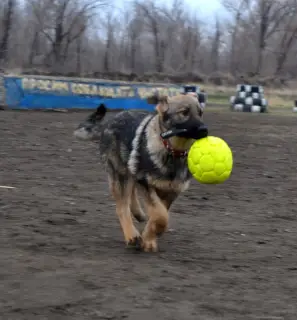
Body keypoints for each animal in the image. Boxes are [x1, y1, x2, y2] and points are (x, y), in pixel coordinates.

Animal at [73, 94, 207, 251]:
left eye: (200, 113)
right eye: (184, 112)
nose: (205, 130)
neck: (172, 151)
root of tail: (108, 123)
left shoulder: (171, 191)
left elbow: (159, 214)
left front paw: (149, 238)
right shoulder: (146, 183)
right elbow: (160, 216)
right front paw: (150, 236)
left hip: (130, 171)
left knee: (131, 193)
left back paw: (138, 214)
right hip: (121, 175)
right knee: (122, 207)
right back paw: (131, 235)